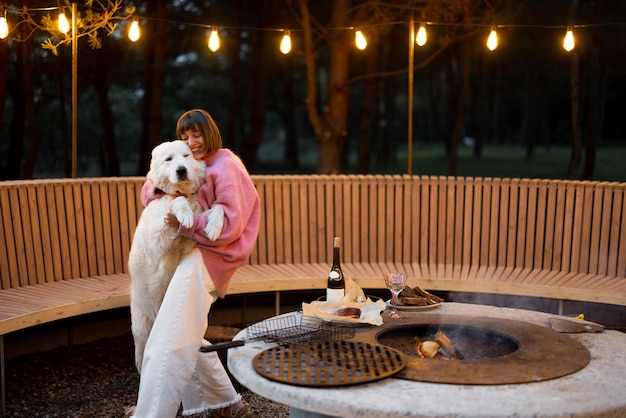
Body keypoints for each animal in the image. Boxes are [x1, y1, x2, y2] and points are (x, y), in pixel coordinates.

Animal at [128, 141, 223, 372]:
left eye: (186, 156)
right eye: (169, 159)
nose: (181, 170)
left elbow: (218, 208)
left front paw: (214, 227)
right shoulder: (158, 232)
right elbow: (177, 202)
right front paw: (185, 214)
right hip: (140, 324)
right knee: (141, 349)